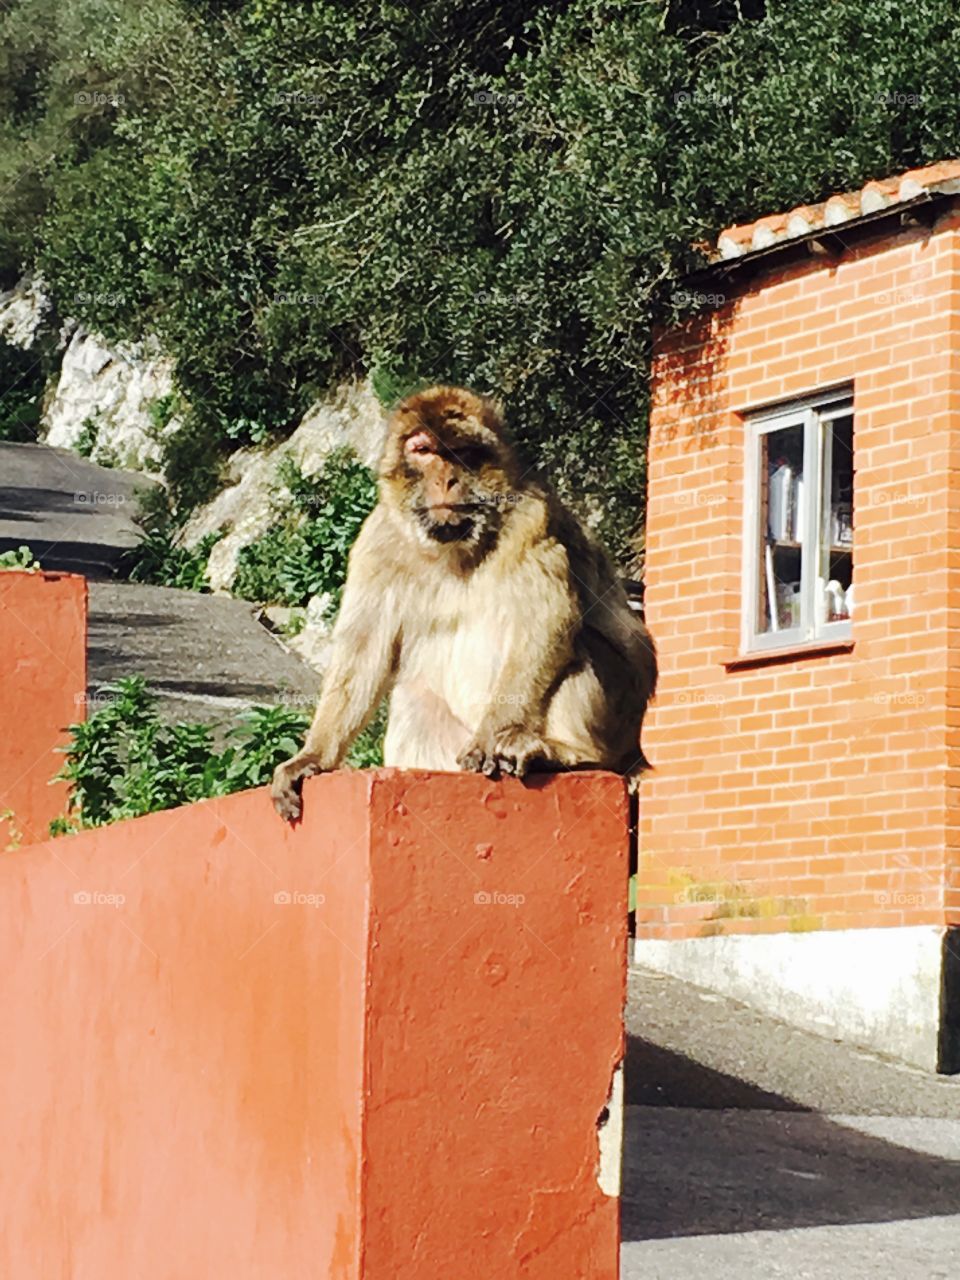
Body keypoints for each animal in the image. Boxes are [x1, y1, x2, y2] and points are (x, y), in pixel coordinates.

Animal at [273, 384, 660, 819]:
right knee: (411, 698)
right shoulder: (378, 540)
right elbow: (364, 649)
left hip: (620, 723)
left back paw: (565, 753)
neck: (452, 547)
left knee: (583, 647)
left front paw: (495, 736)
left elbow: (545, 620)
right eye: (424, 450)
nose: (448, 479)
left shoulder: (531, 517)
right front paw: (314, 756)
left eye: (461, 453)